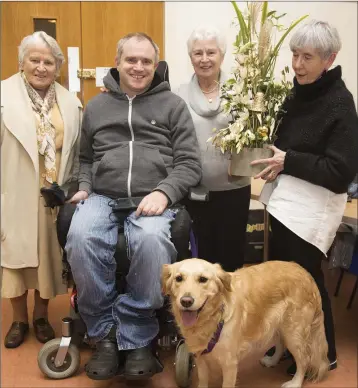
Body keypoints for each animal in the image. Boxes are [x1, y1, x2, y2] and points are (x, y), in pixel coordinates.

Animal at [162, 258, 328, 388]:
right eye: (178, 278)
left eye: (203, 279)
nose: (186, 301)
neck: (214, 316)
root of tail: (306, 273)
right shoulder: (200, 357)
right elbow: (203, 380)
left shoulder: (229, 364)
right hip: (279, 325)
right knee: (281, 344)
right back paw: (272, 360)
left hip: (294, 332)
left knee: (304, 359)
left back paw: (295, 383)